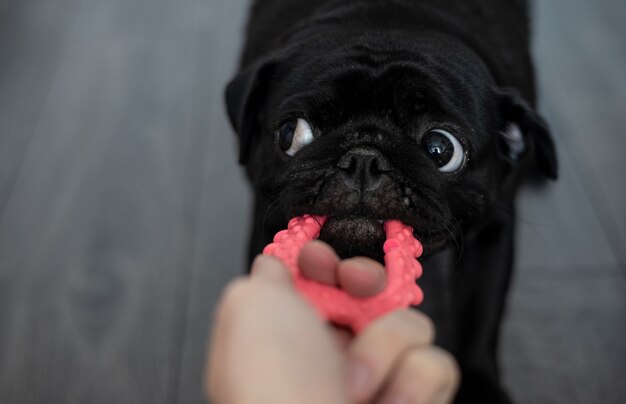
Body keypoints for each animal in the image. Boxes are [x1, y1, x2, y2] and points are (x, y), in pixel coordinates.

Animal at [224, 1, 556, 402]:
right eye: (292, 133)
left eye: (441, 149)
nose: (363, 158)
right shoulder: (268, 218)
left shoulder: (494, 229)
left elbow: (481, 308)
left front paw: (479, 385)